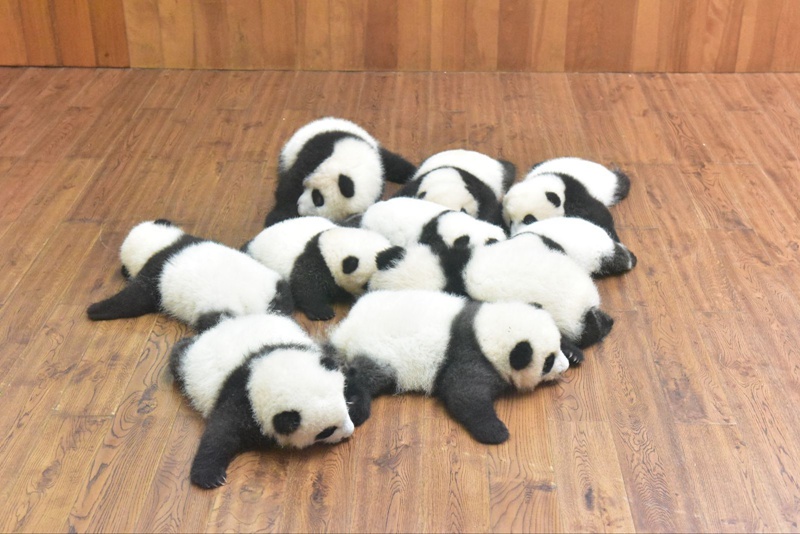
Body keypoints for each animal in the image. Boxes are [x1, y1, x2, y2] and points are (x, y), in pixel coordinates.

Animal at [87, 220, 292, 332]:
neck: (160, 246)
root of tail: (262, 308)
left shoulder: (154, 275)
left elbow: (132, 299)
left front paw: (95, 309)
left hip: (220, 312)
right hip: (275, 286)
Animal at [170, 313, 354, 488]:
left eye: (346, 408)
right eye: (327, 431)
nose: (350, 432)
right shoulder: (242, 399)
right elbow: (221, 432)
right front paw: (209, 476)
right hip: (189, 364)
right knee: (179, 355)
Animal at [264, 117, 416, 227]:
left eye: (318, 201)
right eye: (318, 198)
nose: (299, 206)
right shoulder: (319, 152)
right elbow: (291, 185)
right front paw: (278, 217)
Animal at [329, 290, 578, 444]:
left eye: (556, 350)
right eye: (548, 362)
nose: (564, 367)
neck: (486, 330)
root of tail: (346, 330)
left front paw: (573, 353)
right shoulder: (469, 357)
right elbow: (464, 395)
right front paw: (495, 431)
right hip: (379, 352)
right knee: (363, 377)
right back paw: (357, 407)